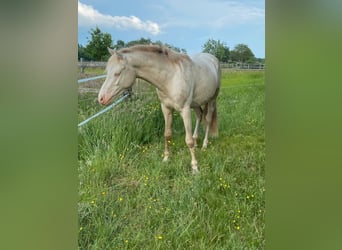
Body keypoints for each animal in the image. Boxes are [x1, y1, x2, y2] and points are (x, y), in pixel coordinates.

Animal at [98, 45, 222, 173]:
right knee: (199, 115)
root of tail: (212, 58)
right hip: (196, 103)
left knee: (208, 119)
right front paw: (166, 158)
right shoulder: (166, 108)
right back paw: (197, 141)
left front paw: (195, 167)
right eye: (107, 72)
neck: (171, 77)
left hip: (212, 99)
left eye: (117, 73)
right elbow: (167, 135)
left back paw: (204, 145)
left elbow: (188, 141)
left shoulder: (185, 110)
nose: (101, 98)